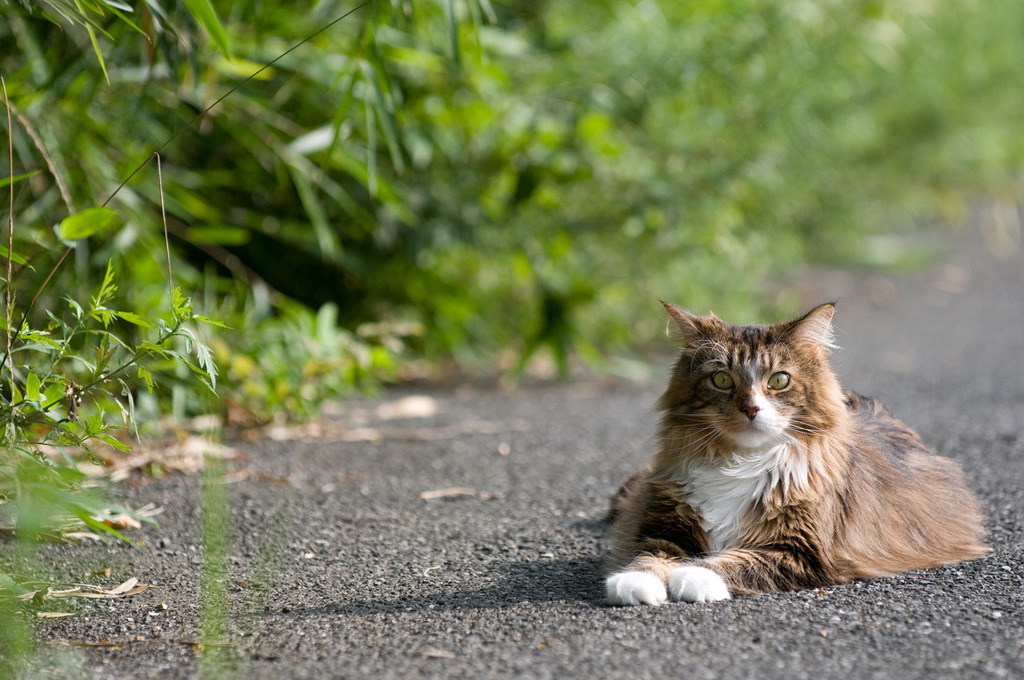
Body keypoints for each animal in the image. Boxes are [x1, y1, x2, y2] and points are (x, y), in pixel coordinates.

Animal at [602, 303, 987, 606]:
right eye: (722, 380)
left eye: (779, 381)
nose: (751, 409)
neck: (740, 462)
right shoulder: (664, 525)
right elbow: (647, 556)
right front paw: (635, 583)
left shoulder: (802, 550)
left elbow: (730, 562)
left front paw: (690, 577)